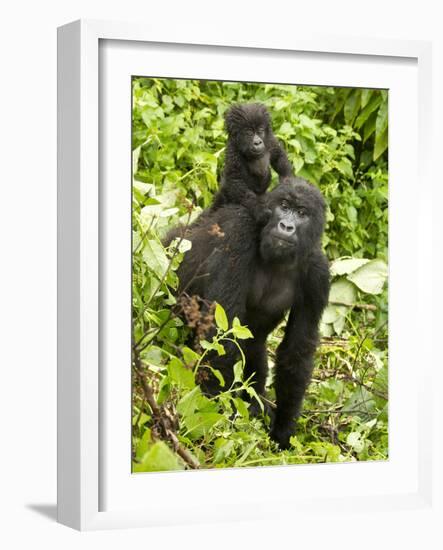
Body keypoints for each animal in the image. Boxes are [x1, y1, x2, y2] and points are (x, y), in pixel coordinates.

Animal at [166, 179, 330, 450]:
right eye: (284, 206)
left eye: (302, 213)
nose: (286, 226)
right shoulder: (239, 230)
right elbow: (222, 329)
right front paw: (214, 410)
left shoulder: (318, 273)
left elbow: (297, 351)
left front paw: (283, 429)